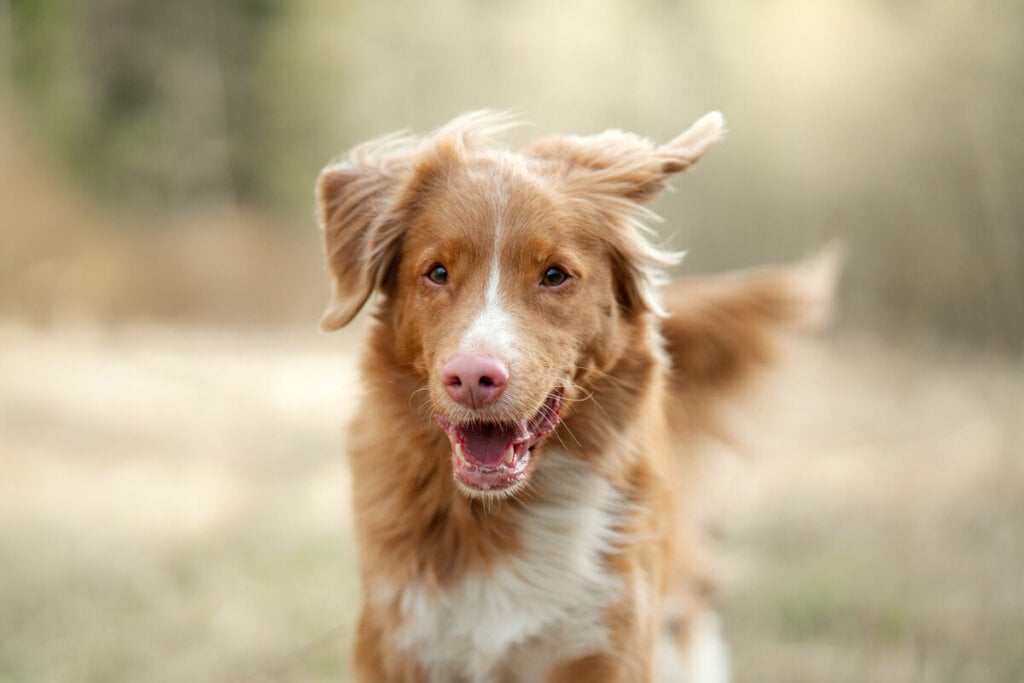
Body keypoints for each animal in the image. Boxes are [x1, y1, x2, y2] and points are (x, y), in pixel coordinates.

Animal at [315, 113, 835, 683]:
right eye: (437, 272)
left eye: (554, 275)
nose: (472, 377)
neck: (501, 511)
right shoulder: (399, 642)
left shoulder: (610, 642)